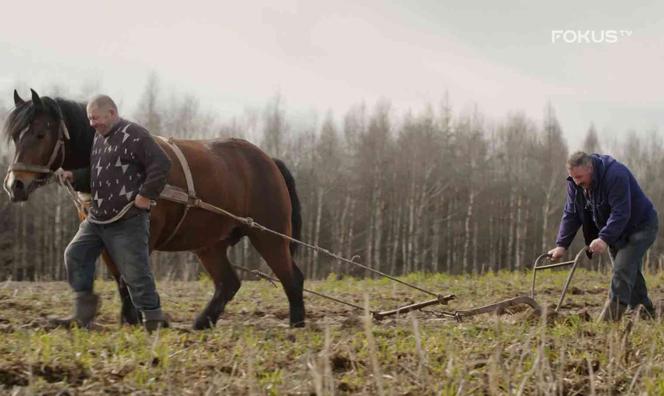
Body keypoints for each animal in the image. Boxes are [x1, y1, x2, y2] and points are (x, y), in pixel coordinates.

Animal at [1, 89, 304, 328]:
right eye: (15, 136)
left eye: (41, 134)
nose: (15, 185)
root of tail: (269, 160)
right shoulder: (102, 234)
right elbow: (117, 277)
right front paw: (125, 319)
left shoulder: (138, 237)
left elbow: (132, 276)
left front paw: (141, 318)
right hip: (210, 244)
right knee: (229, 283)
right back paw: (202, 322)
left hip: (269, 235)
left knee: (292, 278)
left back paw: (296, 325)